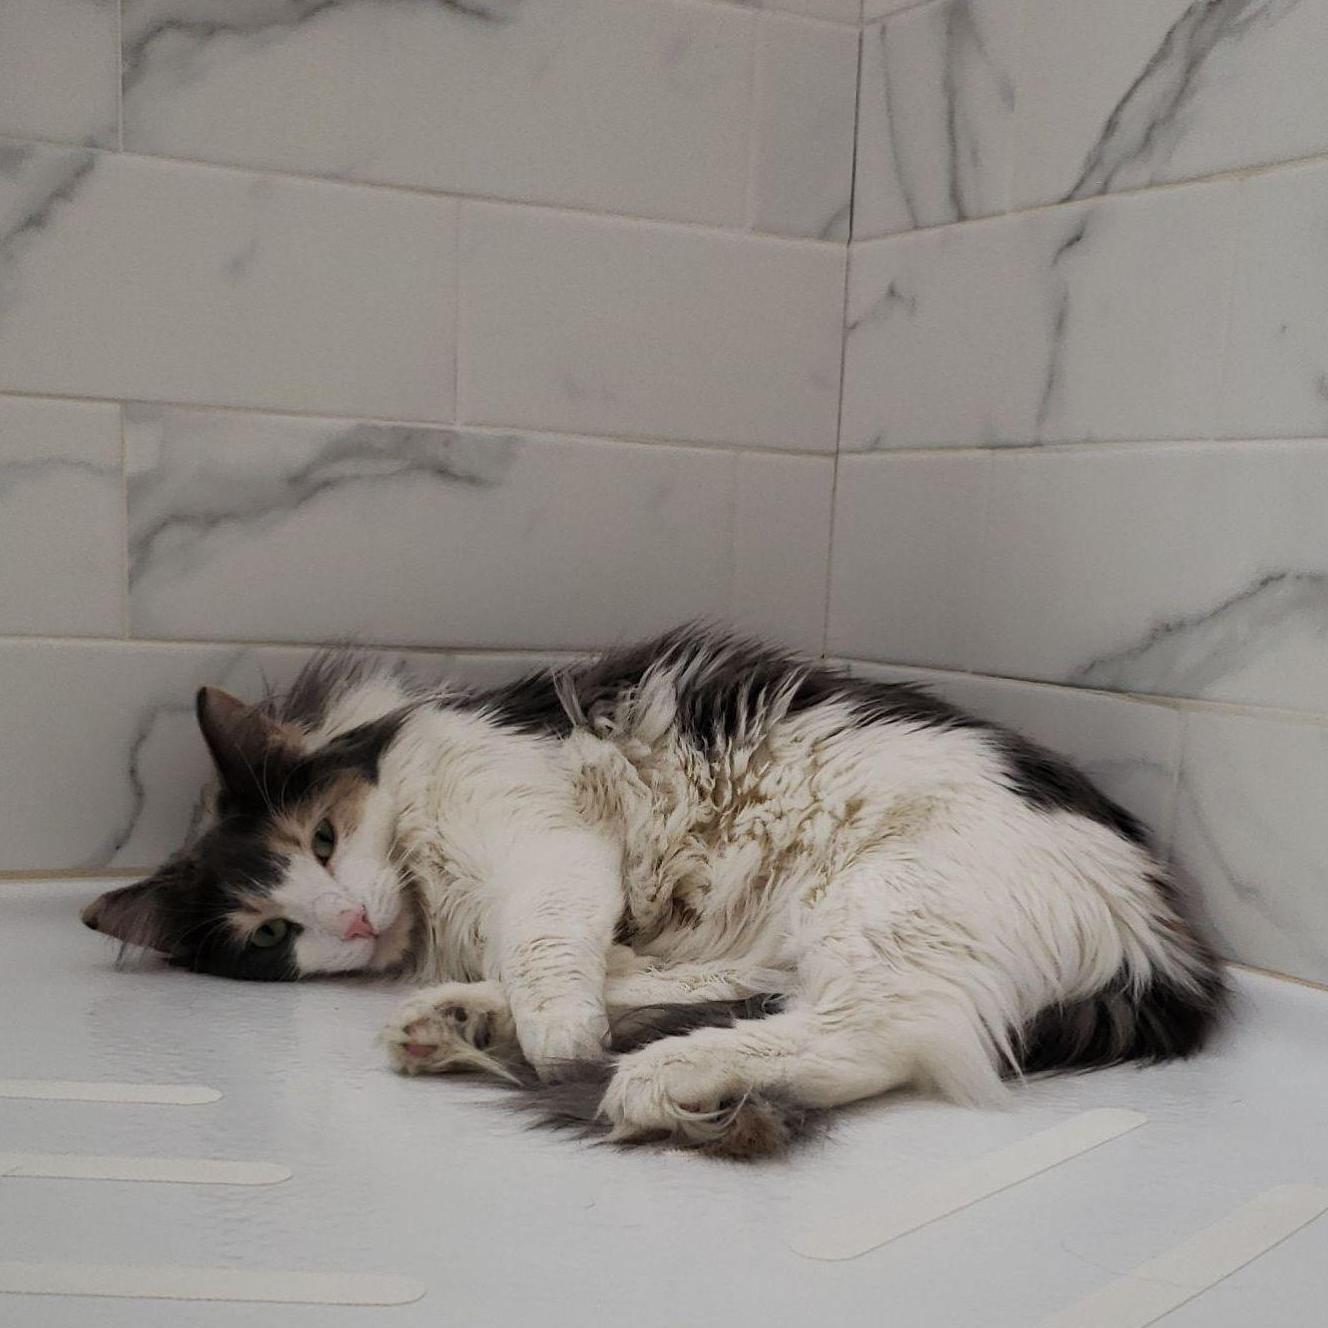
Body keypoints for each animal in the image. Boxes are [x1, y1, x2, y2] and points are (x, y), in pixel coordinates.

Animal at [80, 626, 1221, 1158]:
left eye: (320, 838)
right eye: (270, 931)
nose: (352, 920)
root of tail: (1164, 933)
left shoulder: (544, 846)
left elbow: (544, 946)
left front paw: (554, 1036)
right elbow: (559, 957)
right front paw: (510, 1007)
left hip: (887, 896)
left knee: (858, 1033)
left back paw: (656, 1073)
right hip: (808, 924)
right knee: (735, 991)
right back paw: (462, 1020)